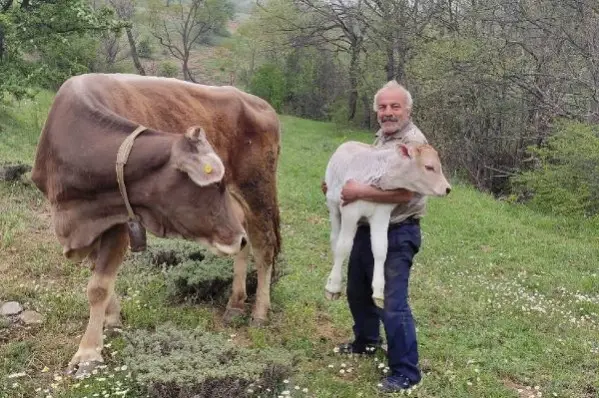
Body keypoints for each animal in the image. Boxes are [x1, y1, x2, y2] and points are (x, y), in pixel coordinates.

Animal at [32, 72, 284, 376]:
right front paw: (112, 319)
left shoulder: (120, 222)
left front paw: (89, 353)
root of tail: (259, 102)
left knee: (263, 246)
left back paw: (259, 312)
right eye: (217, 184)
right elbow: (100, 278)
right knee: (246, 243)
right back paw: (235, 303)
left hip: (258, 190)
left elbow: (98, 287)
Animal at [324, 141, 450, 306]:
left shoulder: (381, 214)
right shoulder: (350, 211)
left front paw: (378, 292)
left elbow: (380, 249)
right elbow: (343, 247)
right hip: (333, 205)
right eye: (429, 167)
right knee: (335, 239)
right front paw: (333, 286)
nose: (447, 188)